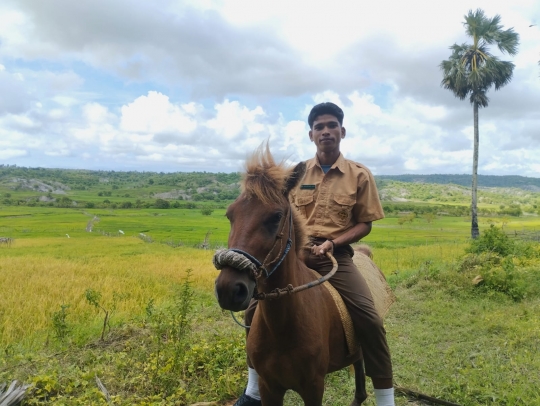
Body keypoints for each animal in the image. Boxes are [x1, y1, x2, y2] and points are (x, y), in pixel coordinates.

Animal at [214, 147, 368, 406]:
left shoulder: (314, 388)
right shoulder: (269, 387)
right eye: (229, 215)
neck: (283, 327)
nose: (228, 289)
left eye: (276, 216)